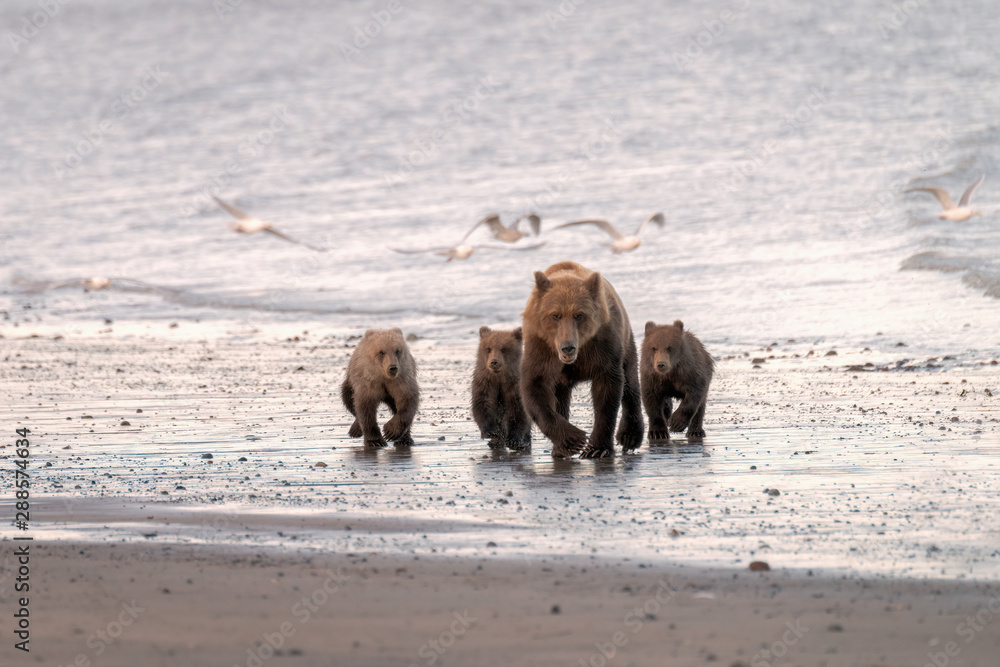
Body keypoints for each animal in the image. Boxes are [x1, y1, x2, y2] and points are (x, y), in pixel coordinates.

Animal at [520, 261, 644, 458]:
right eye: (555, 315)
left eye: (579, 315)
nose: (567, 347)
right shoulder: (541, 347)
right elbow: (535, 387)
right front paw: (572, 440)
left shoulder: (602, 346)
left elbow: (607, 390)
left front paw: (597, 448)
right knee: (560, 395)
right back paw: (559, 448)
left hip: (625, 338)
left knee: (630, 379)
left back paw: (630, 436)